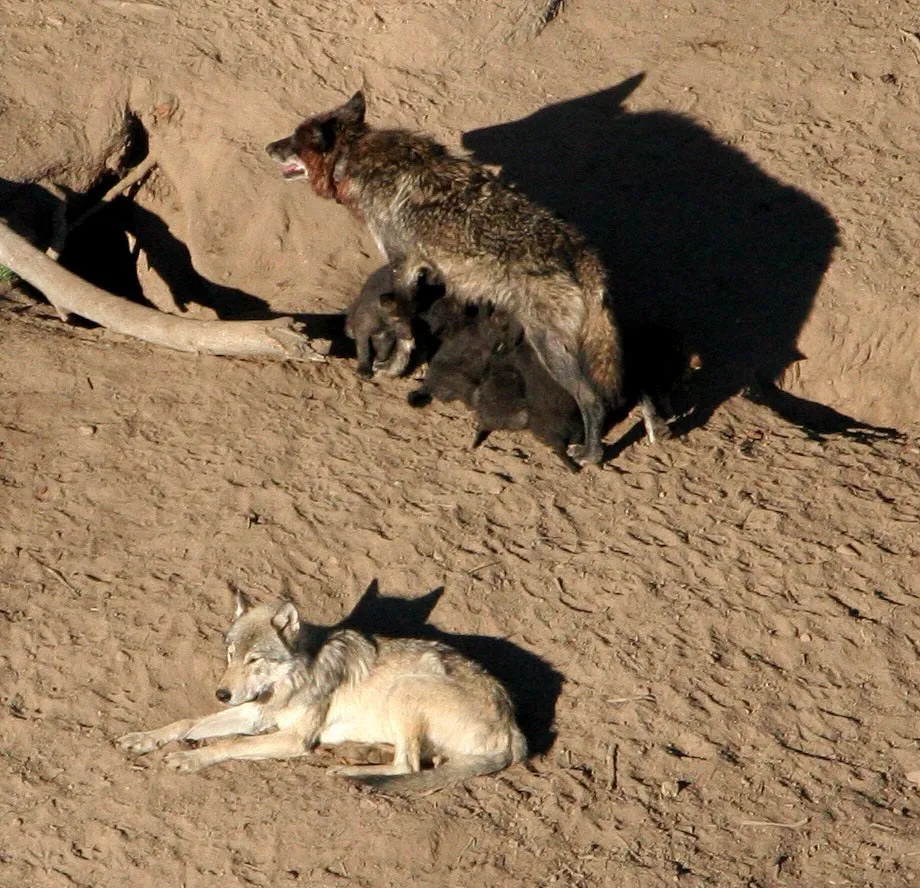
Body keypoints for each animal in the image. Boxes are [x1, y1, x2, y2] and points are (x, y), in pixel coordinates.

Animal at [116, 591, 527, 793]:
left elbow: (229, 744)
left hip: (407, 688)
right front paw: (144, 738)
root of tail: (513, 727)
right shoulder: (253, 714)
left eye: (254, 659)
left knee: (407, 766)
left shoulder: (293, 738)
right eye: (231, 655)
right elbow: (185, 723)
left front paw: (191, 758)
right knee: (423, 762)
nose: (221, 694)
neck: (289, 681)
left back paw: (349, 771)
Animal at [266, 91, 622, 466]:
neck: (355, 158)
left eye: (294, 141)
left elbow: (403, 330)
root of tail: (581, 252)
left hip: (550, 348)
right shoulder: (421, 271)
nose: (268, 147)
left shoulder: (404, 265)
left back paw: (591, 454)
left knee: (593, 401)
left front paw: (393, 369)